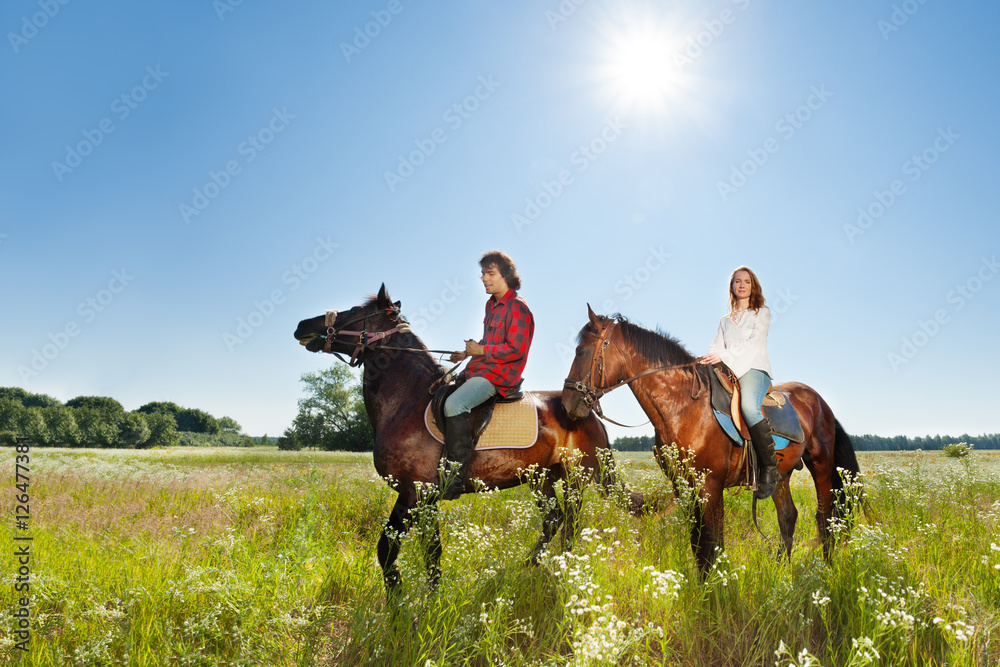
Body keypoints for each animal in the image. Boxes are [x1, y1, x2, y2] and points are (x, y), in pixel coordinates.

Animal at [292, 286, 644, 596]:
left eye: (353, 311)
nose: (301, 326)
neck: (408, 400)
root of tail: (587, 408)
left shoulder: (415, 494)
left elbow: (392, 550)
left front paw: (401, 605)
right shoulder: (424, 499)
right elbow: (426, 552)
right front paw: (423, 600)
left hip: (576, 478)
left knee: (569, 523)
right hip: (539, 478)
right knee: (554, 518)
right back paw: (527, 566)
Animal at [564, 308, 860, 576]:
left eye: (581, 352)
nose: (568, 403)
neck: (683, 406)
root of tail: (818, 401)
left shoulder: (711, 485)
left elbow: (712, 543)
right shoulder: (683, 486)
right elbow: (698, 543)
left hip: (822, 465)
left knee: (825, 517)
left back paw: (826, 570)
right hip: (781, 475)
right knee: (788, 516)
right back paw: (781, 574)